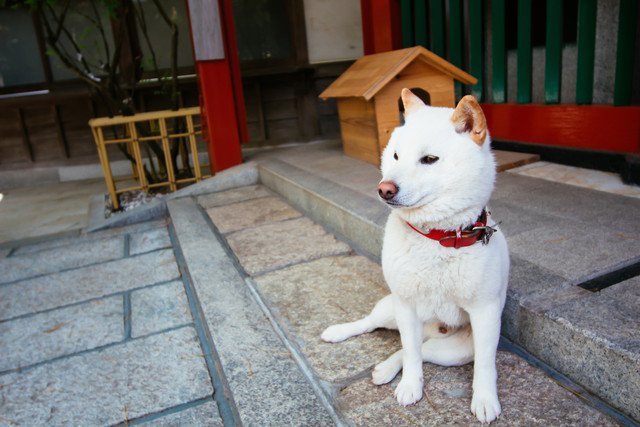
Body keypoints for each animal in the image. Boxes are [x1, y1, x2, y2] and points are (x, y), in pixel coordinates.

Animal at [322, 89, 508, 424]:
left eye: (429, 159)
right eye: (395, 156)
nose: (384, 189)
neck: (436, 235)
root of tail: (435, 330)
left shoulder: (485, 314)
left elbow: (485, 366)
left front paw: (486, 400)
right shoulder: (405, 304)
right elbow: (410, 353)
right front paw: (410, 386)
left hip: (455, 350)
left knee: (424, 351)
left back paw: (385, 368)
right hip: (391, 309)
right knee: (376, 326)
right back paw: (340, 333)